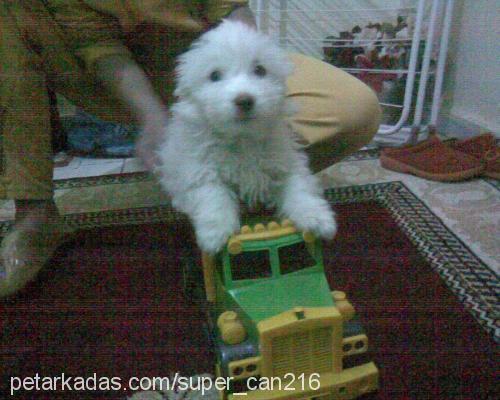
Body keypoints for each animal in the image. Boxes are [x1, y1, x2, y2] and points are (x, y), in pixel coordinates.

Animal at [155, 19, 336, 253]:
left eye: (260, 70)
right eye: (214, 76)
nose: (244, 100)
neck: (242, 138)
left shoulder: (284, 162)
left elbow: (299, 187)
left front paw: (317, 217)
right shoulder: (198, 169)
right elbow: (213, 195)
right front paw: (215, 234)